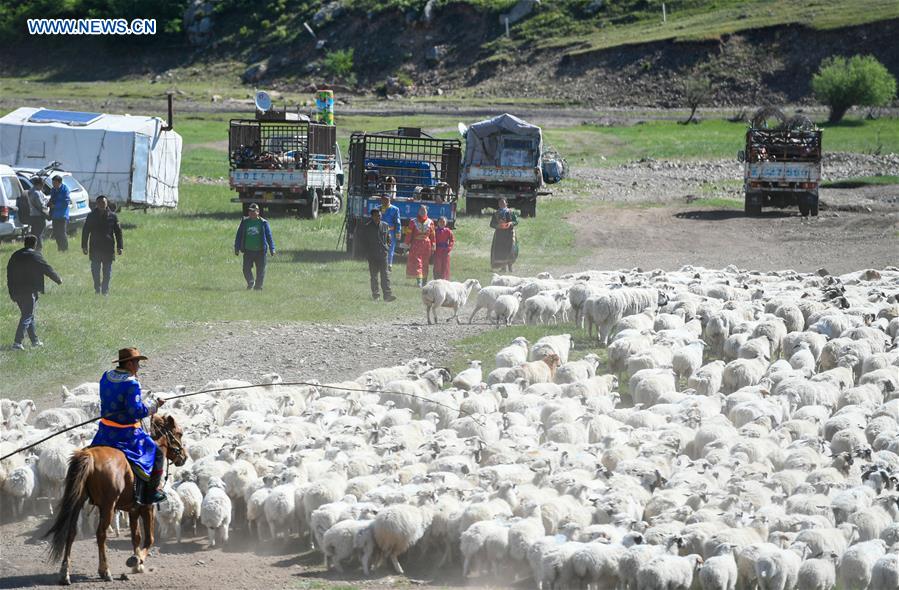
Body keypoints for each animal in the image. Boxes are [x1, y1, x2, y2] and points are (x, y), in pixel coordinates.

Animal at [45, 416, 188, 588]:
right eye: (179, 433)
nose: (184, 457)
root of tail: (89, 456)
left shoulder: (133, 508)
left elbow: (136, 536)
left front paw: (137, 564)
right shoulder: (147, 506)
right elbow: (149, 538)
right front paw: (137, 560)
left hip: (78, 501)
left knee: (71, 532)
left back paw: (64, 573)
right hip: (108, 506)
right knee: (101, 534)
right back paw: (105, 571)